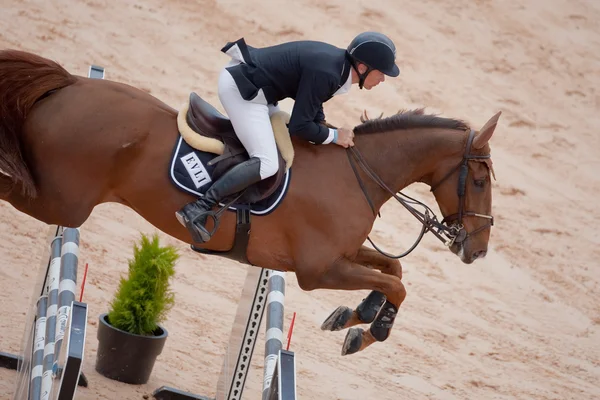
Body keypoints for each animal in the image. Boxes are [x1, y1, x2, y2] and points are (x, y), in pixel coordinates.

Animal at [0, 50, 496, 356]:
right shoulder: (318, 271)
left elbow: (393, 270)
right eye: (479, 179)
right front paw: (371, 330)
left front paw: (355, 317)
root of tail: (69, 84)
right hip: (60, 203)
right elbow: (397, 284)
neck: (358, 173)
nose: (477, 250)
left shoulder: (341, 255)